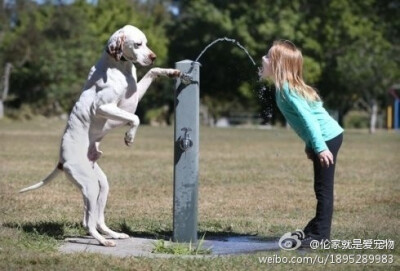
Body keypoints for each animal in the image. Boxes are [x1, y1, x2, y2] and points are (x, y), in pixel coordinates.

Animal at [20, 25, 180, 246]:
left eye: (146, 43)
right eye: (138, 44)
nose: (153, 56)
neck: (119, 67)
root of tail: (61, 161)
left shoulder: (133, 97)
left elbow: (152, 72)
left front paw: (171, 72)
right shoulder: (105, 107)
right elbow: (136, 118)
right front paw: (129, 136)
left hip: (101, 185)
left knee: (97, 219)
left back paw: (113, 234)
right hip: (89, 186)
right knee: (88, 222)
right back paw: (104, 241)